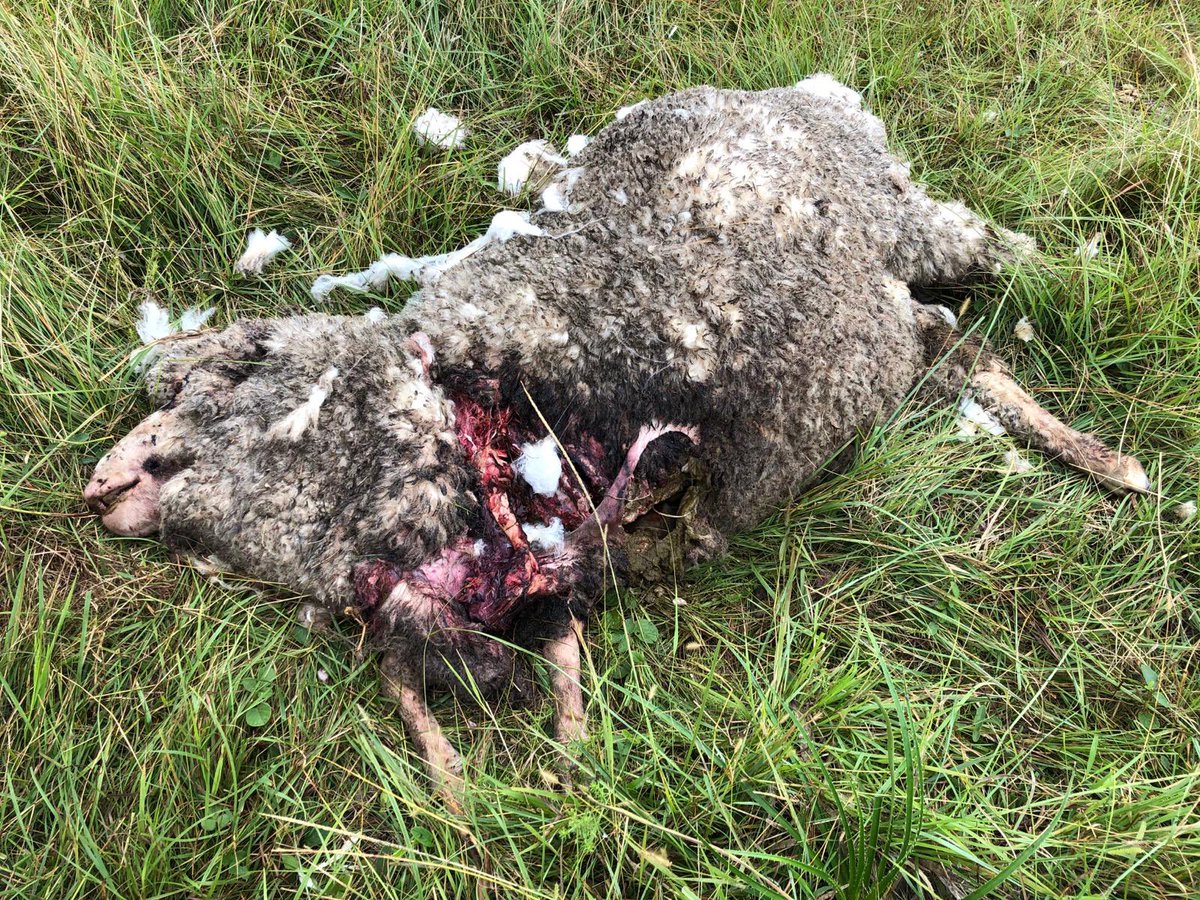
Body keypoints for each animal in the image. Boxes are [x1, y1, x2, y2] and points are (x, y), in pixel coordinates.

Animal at [84, 80, 1149, 808]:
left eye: (233, 377)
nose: (103, 481)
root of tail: (816, 101)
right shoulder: (476, 584)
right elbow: (471, 664)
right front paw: (514, 771)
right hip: (892, 306)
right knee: (948, 339)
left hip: (906, 223)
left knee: (982, 266)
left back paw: (1105, 407)